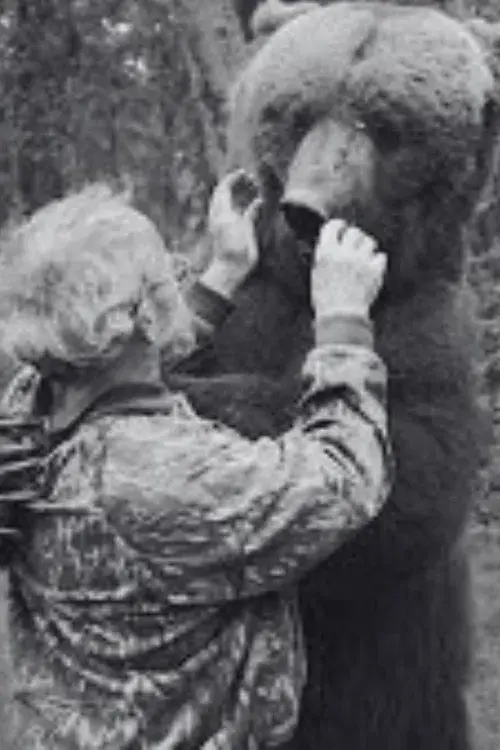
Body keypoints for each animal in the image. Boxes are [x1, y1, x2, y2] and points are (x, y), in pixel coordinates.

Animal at [168, 4, 500, 748]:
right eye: (295, 112)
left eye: (386, 124)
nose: (305, 207)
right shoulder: (254, 304)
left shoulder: (430, 332)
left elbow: (412, 479)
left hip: (406, 694)